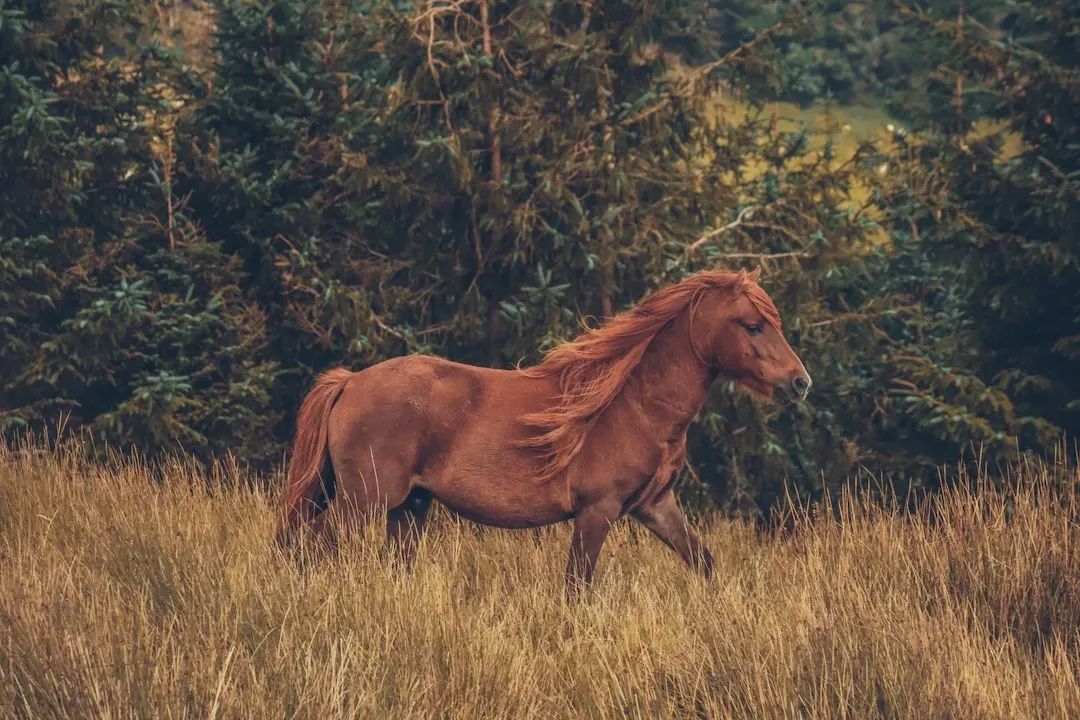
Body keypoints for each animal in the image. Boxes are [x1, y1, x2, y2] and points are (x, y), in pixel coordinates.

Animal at [274, 267, 812, 599]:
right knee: (310, 548)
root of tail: (350, 382)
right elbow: (577, 587)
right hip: (364, 500)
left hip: (409, 509)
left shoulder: (655, 506)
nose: (800, 383)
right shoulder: (597, 512)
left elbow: (702, 561)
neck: (634, 404)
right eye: (753, 325)